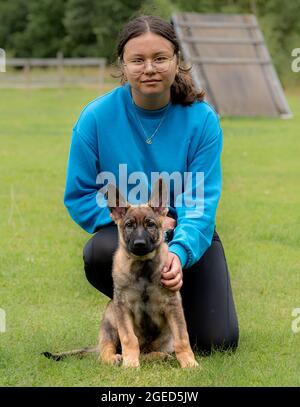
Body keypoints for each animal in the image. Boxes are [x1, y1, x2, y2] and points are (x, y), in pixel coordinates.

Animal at [43, 179, 198, 370]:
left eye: (150, 224)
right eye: (129, 225)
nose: (139, 244)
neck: (143, 269)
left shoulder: (173, 305)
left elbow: (182, 338)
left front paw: (189, 362)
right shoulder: (123, 308)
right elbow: (129, 339)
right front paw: (130, 364)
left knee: (147, 352)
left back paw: (159, 356)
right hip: (111, 318)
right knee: (106, 350)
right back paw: (114, 358)